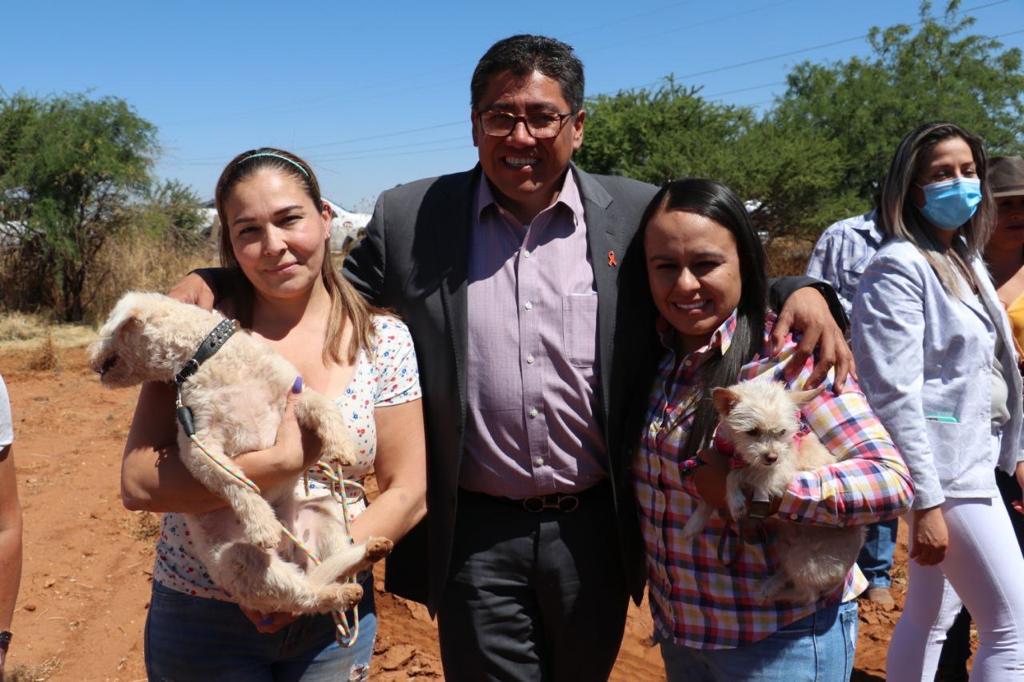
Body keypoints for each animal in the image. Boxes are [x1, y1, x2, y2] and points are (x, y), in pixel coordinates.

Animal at [91, 288, 391, 614]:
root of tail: (295, 553)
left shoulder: (294, 393)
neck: (206, 356)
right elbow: (234, 480)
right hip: (242, 561)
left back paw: (369, 551)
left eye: (107, 325)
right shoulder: (198, 445)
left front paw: (341, 446)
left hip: (326, 512)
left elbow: (324, 405)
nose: (90, 359)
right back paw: (339, 590)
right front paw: (262, 524)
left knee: (333, 566)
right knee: (305, 594)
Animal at [679, 378, 864, 602]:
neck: (736, 453)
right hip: (787, 545)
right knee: (788, 574)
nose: (772, 457)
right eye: (752, 432)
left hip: (804, 559)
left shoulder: (778, 475)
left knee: (807, 595)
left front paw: (735, 501)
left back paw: (771, 593)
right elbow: (708, 498)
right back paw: (771, 585)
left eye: (782, 432)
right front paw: (694, 524)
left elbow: (735, 474)